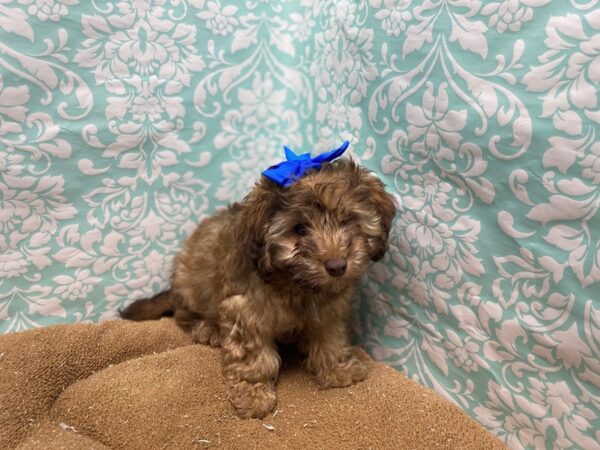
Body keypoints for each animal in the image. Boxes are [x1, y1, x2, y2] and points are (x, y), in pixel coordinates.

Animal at [119, 158, 396, 418]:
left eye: (348, 219)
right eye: (299, 229)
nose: (337, 266)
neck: (297, 284)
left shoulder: (329, 310)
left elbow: (330, 338)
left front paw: (337, 368)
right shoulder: (245, 312)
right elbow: (255, 359)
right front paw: (253, 395)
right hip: (191, 284)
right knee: (184, 315)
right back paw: (208, 329)